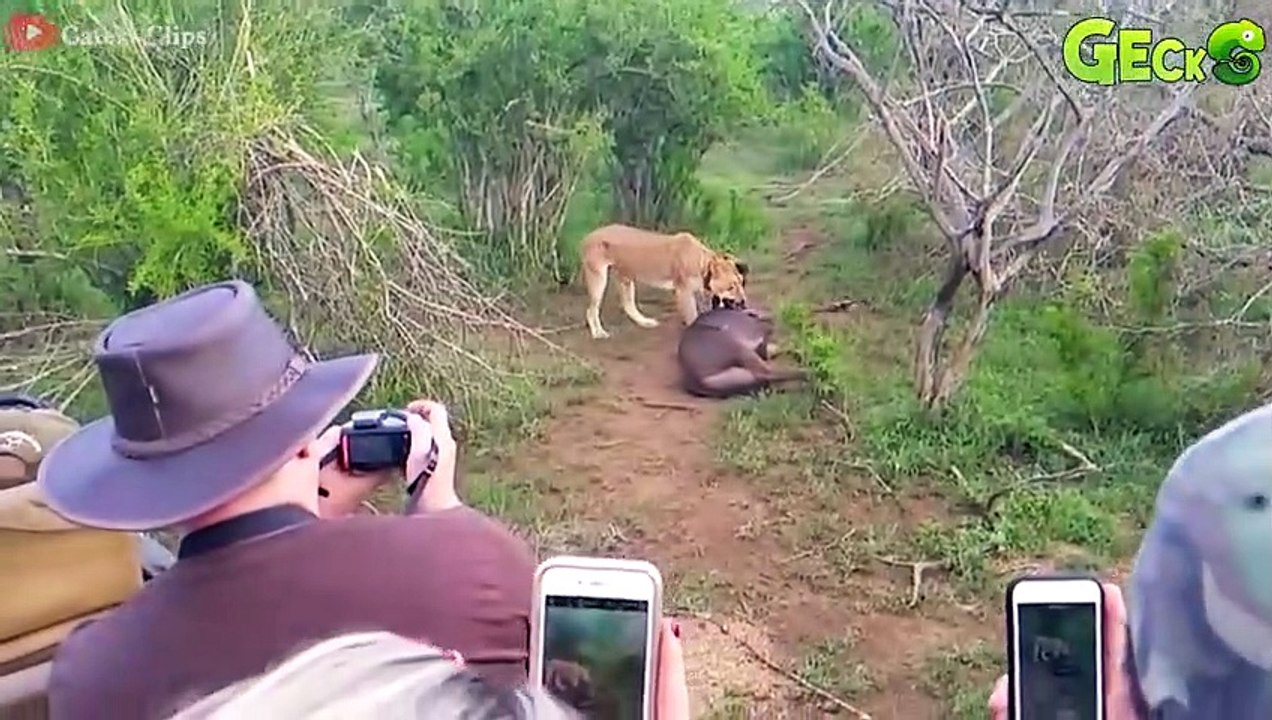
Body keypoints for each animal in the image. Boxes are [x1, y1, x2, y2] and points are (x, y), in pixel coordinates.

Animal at [579, 223, 748, 339]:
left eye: (741, 282)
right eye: (731, 286)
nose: (743, 301)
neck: (704, 263)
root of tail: (588, 236)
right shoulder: (683, 291)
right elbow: (692, 316)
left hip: (626, 276)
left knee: (628, 305)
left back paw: (645, 322)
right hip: (598, 278)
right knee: (591, 310)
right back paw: (598, 333)